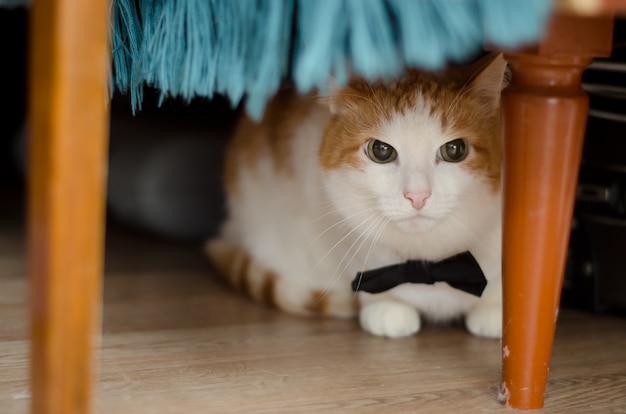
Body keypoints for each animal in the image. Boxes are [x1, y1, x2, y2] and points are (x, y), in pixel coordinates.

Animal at [207, 51, 504, 338]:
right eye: (381, 151)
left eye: (455, 150)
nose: (417, 195)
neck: (426, 263)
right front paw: (386, 305)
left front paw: (495, 310)